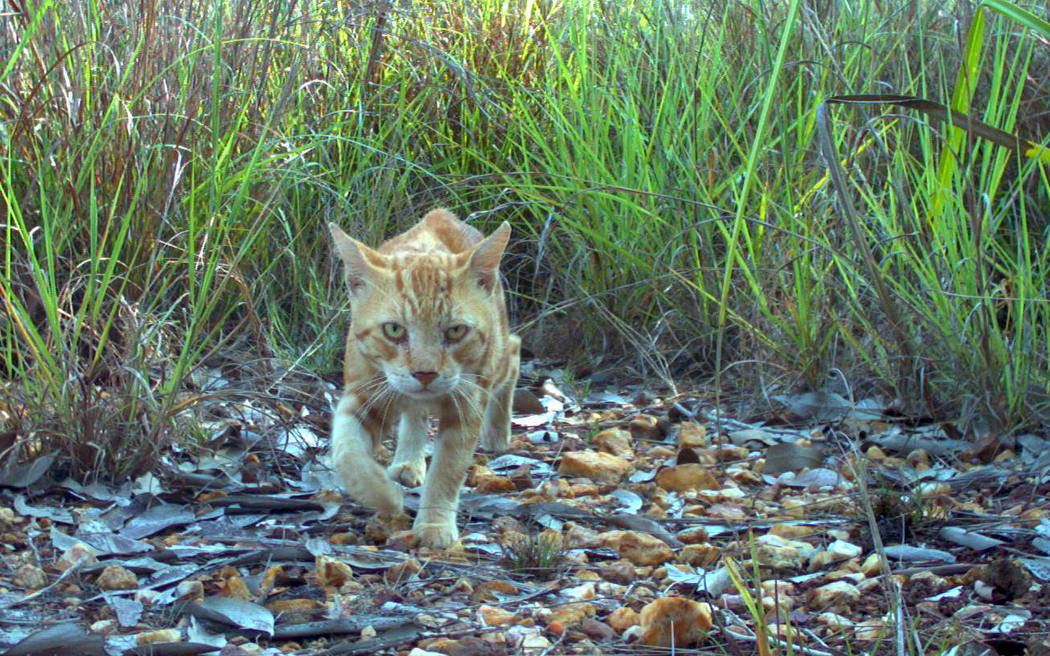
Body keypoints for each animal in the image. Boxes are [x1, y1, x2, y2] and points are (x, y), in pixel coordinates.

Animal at [327, 209, 520, 545]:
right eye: (394, 329)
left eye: (456, 331)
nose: (425, 373)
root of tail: (440, 214)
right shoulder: (362, 395)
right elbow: (347, 454)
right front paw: (384, 495)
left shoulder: (466, 406)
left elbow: (447, 469)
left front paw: (435, 523)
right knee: (414, 415)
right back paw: (407, 460)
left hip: (496, 360)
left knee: (515, 349)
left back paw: (497, 432)